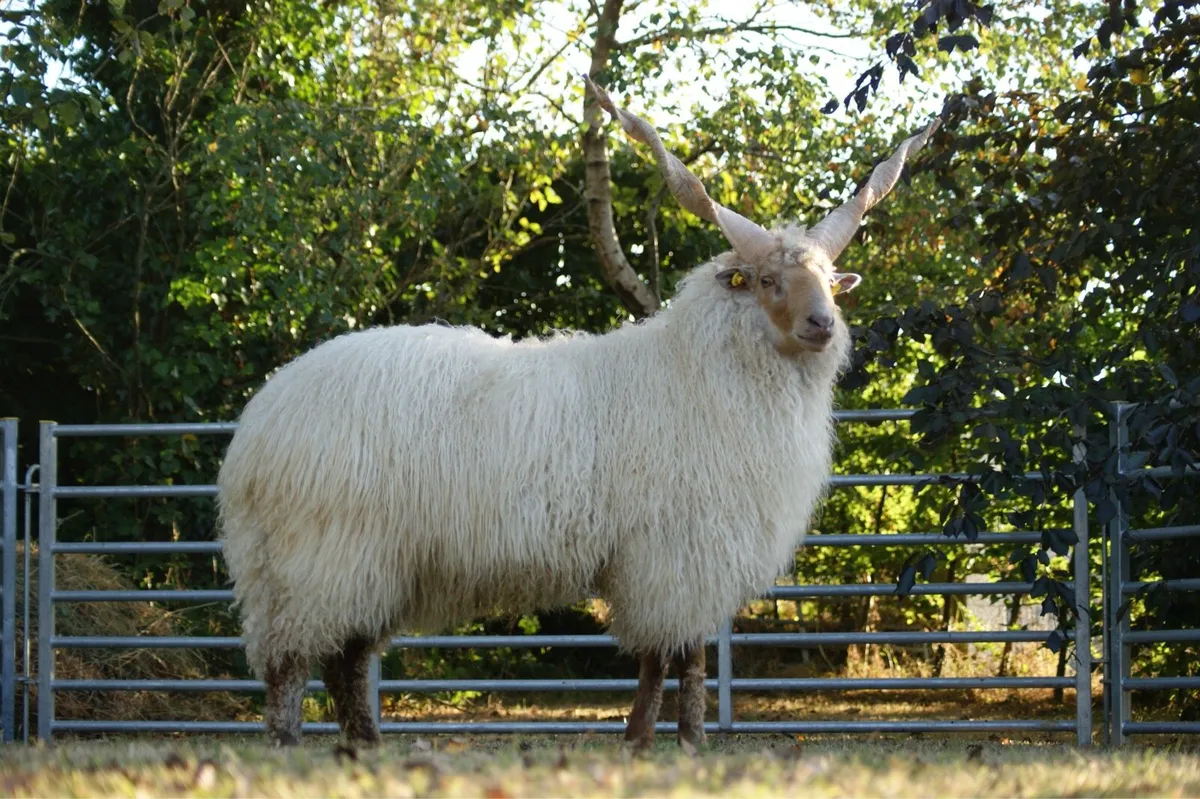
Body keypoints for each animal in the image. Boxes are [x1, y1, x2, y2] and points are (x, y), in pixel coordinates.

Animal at [215, 76, 940, 751]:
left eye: (830, 281)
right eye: (766, 280)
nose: (823, 325)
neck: (699, 372)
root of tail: (257, 427)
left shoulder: (680, 557)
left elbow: (677, 657)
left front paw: (665, 739)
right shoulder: (672, 553)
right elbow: (674, 657)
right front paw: (667, 739)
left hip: (359, 564)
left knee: (345, 659)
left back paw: (362, 745)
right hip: (320, 556)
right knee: (292, 663)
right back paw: (289, 745)